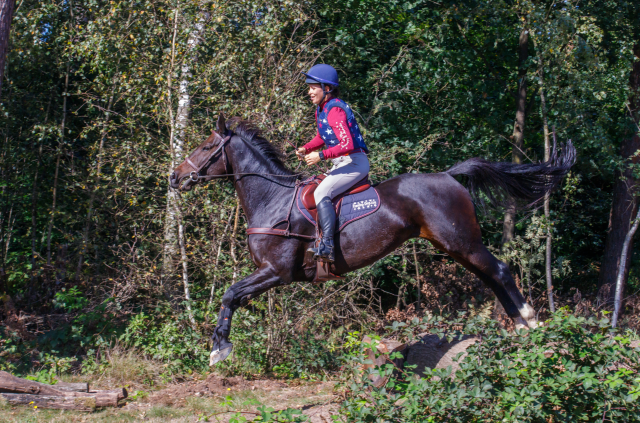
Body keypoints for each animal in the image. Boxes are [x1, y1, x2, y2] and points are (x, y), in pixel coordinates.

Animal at [169, 114, 576, 366]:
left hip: (462, 242)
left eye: (205, 148)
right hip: (454, 246)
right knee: (491, 276)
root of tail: (449, 175)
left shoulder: (277, 271)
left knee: (501, 271)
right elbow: (233, 296)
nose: (175, 177)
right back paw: (519, 327)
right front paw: (219, 346)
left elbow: (230, 294)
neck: (272, 199)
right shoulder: (271, 273)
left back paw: (530, 322)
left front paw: (219, 349)